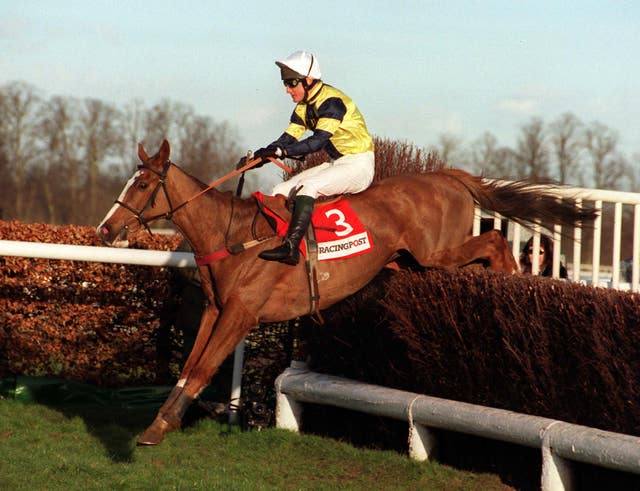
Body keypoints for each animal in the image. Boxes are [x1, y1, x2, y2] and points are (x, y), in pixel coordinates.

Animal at [97, 139, 596, 446]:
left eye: (143, 184)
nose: (105, 229)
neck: (234, 236)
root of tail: (448, 177)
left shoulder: (241, 314)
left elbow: (201, 369)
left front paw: (157, 430)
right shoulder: (215, 311)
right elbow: (188, 369)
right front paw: (161, 421)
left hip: (436, 252)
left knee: (493, 240)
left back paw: (519, 280)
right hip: (418, 263)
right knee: (480, 258)